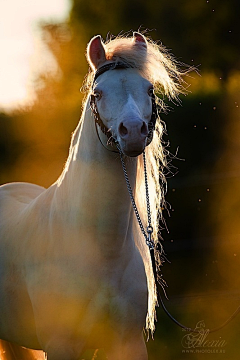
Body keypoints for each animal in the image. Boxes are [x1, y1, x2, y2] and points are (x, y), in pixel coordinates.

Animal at [0, 32, 183, 358]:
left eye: (149, 89)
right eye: (98, 93)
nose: (132, 131)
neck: (100, 247)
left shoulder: (128, 343)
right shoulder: (60, 345)